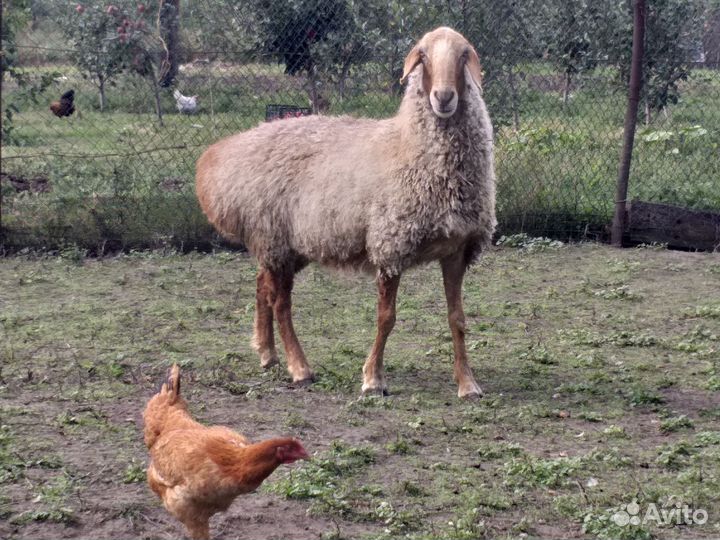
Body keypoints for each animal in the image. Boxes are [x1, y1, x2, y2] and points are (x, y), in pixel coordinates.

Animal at [196, 27, 496, 399]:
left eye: (464, 54)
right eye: (423, 56)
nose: (442, 97)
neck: (406, 145)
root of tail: (222, 156)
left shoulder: (457, 249)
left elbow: (457, 319)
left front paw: (467, 383)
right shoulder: (390, 243)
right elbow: (386, 318)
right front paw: (373, 378)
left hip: (286, 245)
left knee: (261, 285)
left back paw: (267, 353)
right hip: (273, 236)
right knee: (281, 304)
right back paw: (299, 368)